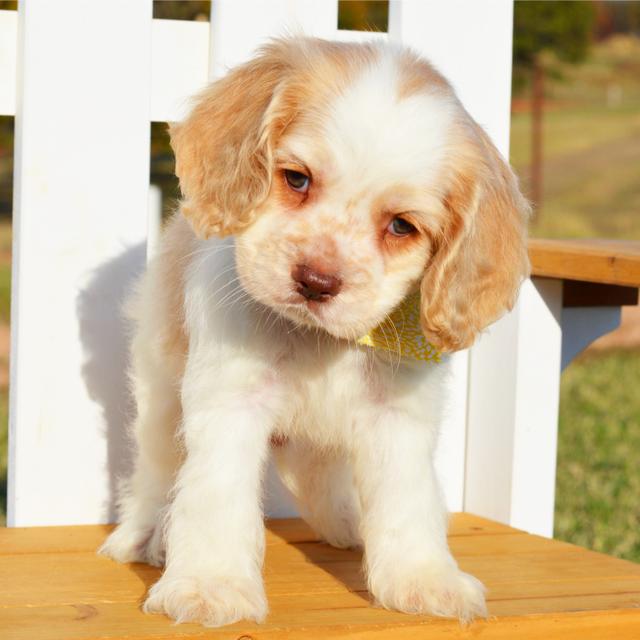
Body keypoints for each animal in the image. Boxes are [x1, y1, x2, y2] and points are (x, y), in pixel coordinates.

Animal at [100, 38, 528, 632]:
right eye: (296, 179)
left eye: (401, 226)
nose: (316, 281)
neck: (320, 343)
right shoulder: (230, 402)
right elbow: (214, 496)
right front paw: (210, 585)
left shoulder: (397, 417)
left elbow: (408, 500)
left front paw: (423, 580)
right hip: (161, 386)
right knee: (157, 468)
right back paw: (144, 535)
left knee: (318, 474)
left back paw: (348, 522)